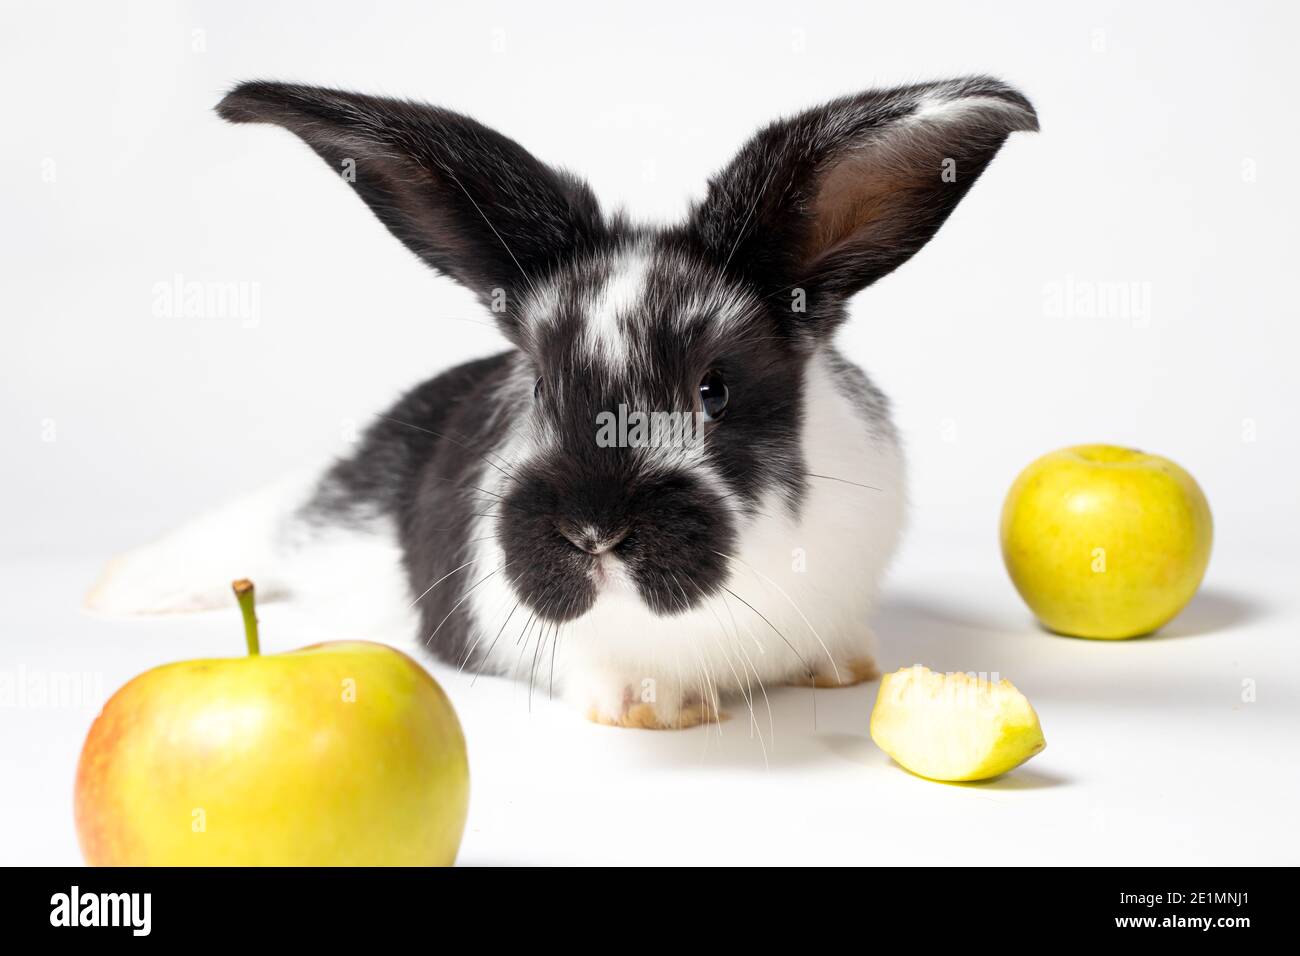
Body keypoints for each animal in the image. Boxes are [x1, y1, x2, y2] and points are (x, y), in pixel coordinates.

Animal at [86, 77, 1037, 728]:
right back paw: (120, 586)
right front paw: (656, 712)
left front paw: (842, 673)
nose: (593, 531)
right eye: (541, 383)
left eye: (714, 388)